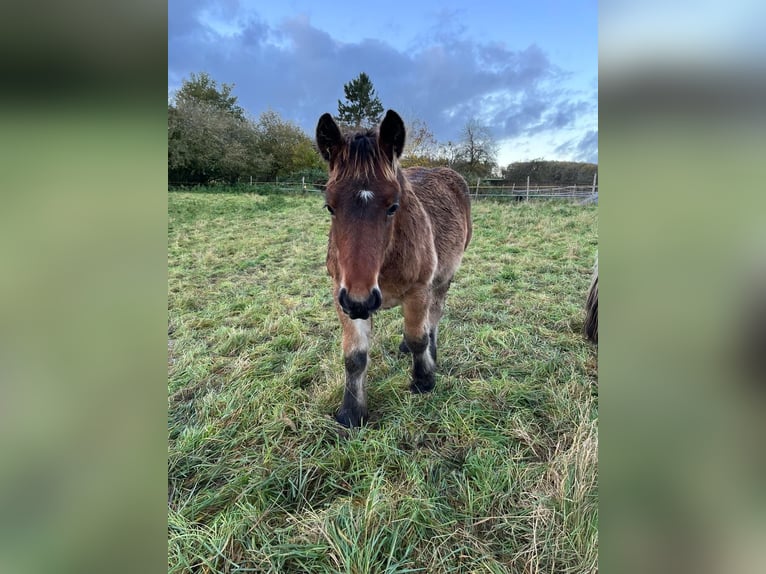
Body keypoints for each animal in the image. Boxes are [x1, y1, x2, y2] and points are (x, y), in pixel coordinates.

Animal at [314, 110, 472, 430]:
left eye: (393, 206)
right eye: (330, 207)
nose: (360, 300)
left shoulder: (418, 291)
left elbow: (418, 337)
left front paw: (424, 380)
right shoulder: (341, 294)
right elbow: (355, 356)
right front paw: (351, 413)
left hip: (443, 280)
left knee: (433, 319)